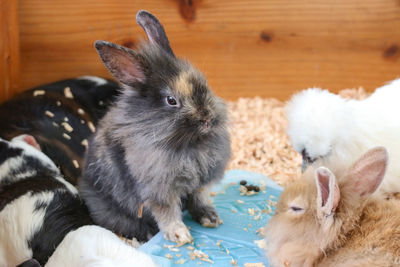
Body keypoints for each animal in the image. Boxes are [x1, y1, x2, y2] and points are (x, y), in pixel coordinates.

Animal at [79, 11, 231, 245]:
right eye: (171, 101)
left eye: (204, 84)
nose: (207, 119)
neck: (188, 145)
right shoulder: (159, 190)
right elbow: (168, 213)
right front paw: (180, 235)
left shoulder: (198, 184)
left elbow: (198, 200)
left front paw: (210, 218)